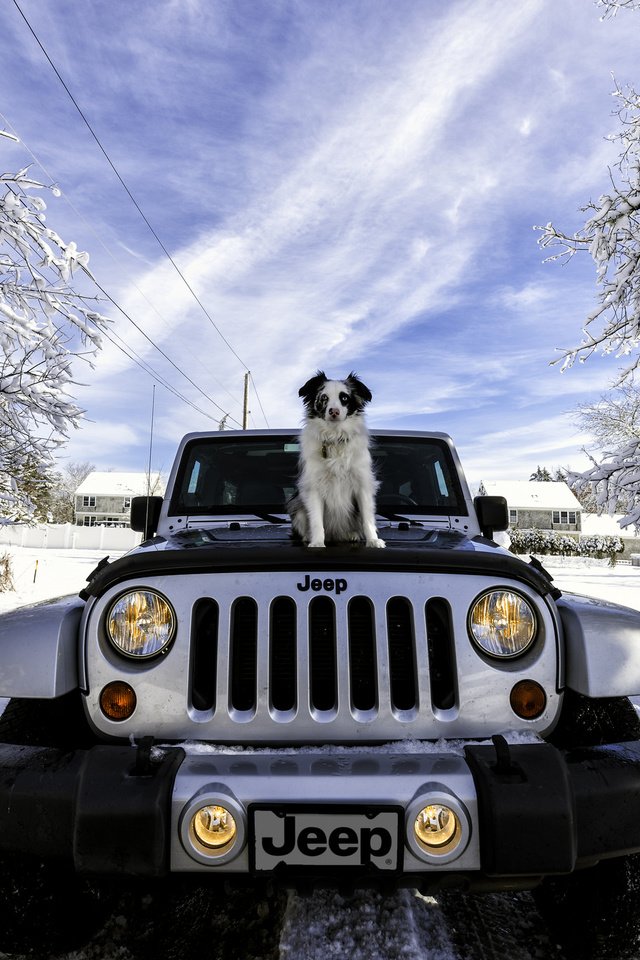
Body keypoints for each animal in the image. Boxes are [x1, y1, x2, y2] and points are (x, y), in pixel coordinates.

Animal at [288, 374, 384, 552]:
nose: (334, 411)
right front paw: (317, 542)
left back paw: (351, 534)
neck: (335, 437)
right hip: (296, 504)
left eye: (344, 398)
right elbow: (316, 520)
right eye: (324, 398)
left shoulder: (362, 484)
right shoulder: (313, 487)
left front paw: (373, 541)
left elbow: (367, 517)